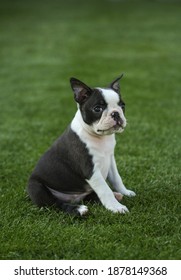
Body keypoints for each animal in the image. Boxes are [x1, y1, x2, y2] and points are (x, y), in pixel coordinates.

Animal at [27, 75, 136, 217]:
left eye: (122, 106)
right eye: (97, 109)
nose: (116, 113)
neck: (101, 138)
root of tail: (73, 198)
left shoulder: (110, 159)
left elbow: (117, 178)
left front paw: (125, 192)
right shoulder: (90, 169)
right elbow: (104, 189)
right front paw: (116, 207)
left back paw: (117, 195)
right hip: (36, 187)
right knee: (56, 204)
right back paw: (78, 209)